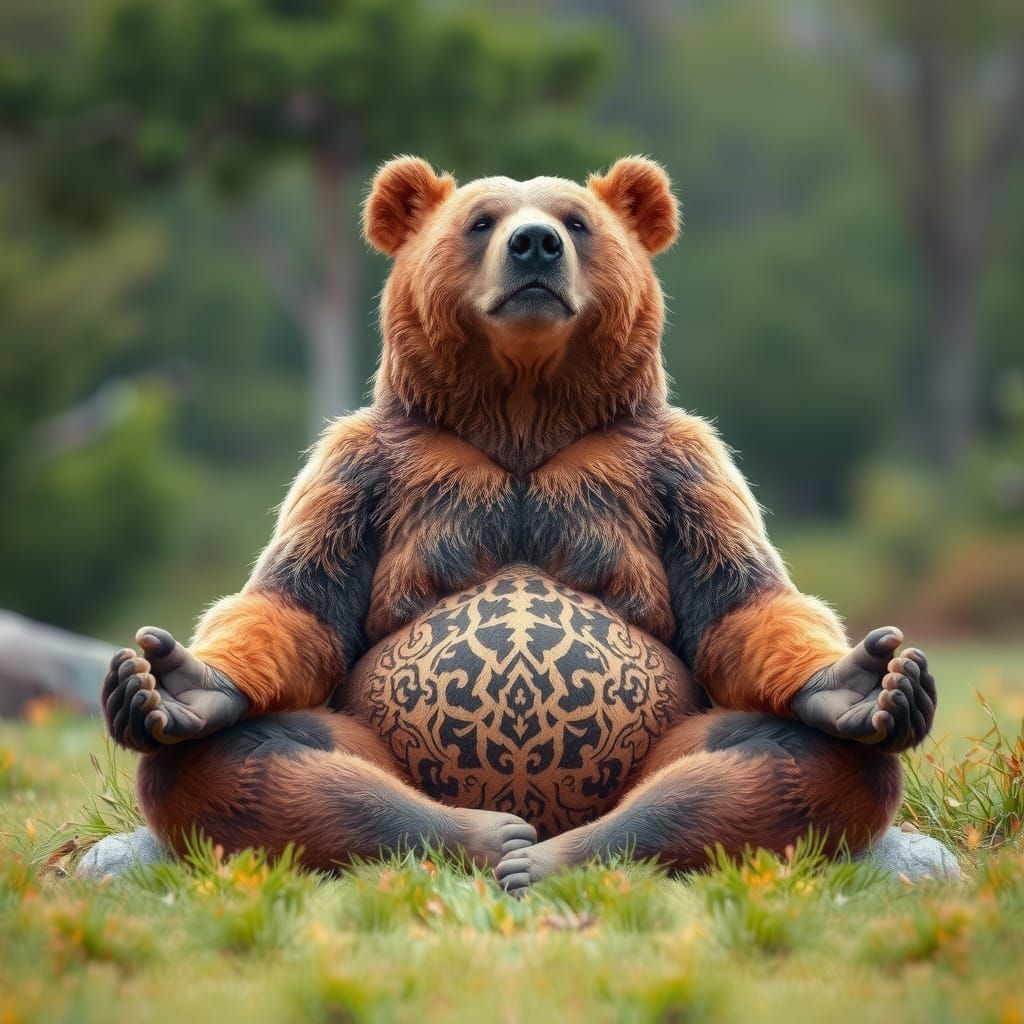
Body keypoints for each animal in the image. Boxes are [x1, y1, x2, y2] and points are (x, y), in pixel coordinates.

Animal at [102, 156, 936, 894]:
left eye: (577, 220)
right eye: (480, 221)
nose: (535, 243)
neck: (523, 416)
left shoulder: (677, 468)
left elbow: (743, 603)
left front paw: (860, 678)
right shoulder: (364, 469)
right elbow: (296, 603)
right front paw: (177, 679)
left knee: (792, 757)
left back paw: (562, 852)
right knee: (242, 758)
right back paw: (479, 834)